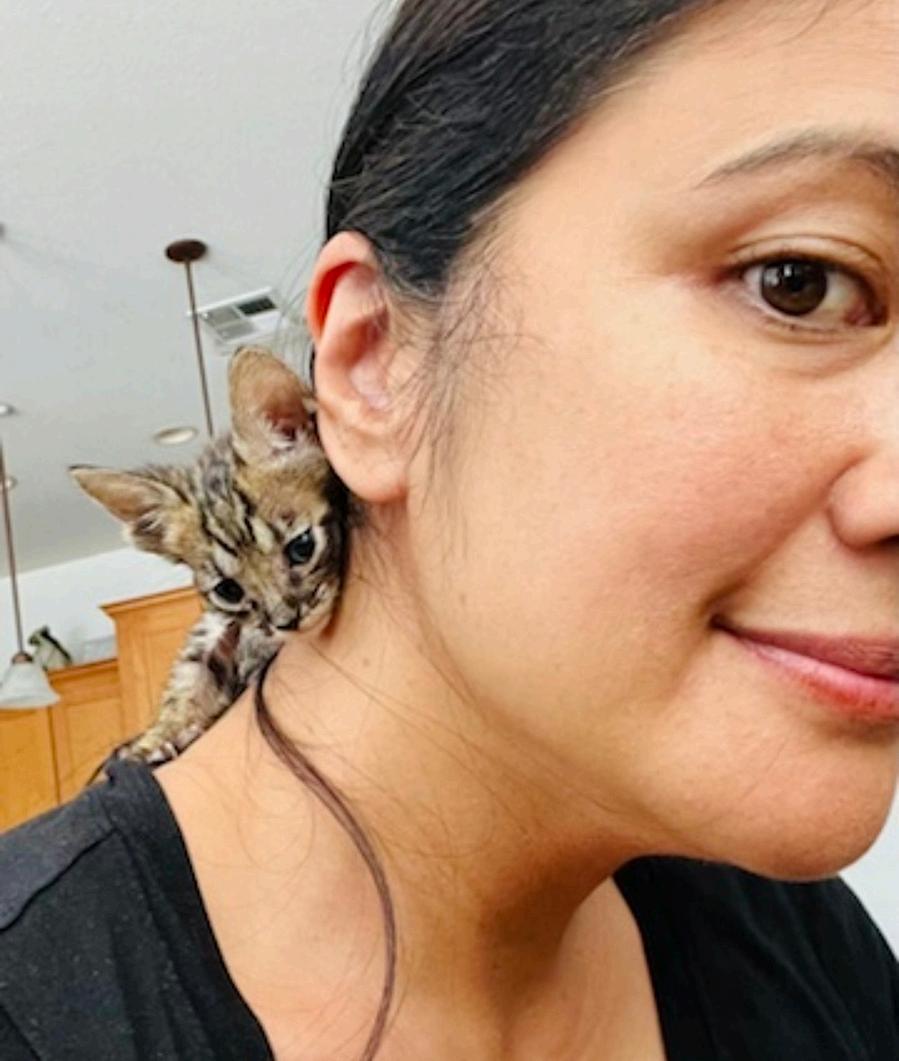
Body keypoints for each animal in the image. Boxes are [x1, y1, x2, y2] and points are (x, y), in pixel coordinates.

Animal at [71, 345, 349, 771]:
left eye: (302, 547)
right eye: (228, 590)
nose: (287, 621)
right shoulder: (211, 632)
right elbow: (186, 681)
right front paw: (155, 738)